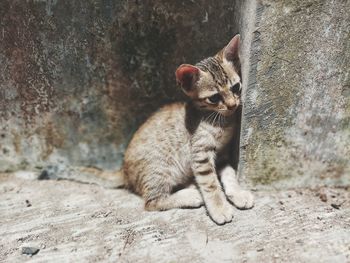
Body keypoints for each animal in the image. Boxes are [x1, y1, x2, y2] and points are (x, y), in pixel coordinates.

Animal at [121, 34, 253, 225]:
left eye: (236, 87)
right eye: (214, 98)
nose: (232, 105)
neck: (218, 119)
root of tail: (123, 172)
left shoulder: (222, 155)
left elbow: (229, 175)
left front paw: (238, 193)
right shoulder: (200, 153)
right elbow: (210, 183)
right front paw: (219, 207)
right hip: (160, 168)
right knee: (151, 202)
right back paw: (191, 195)